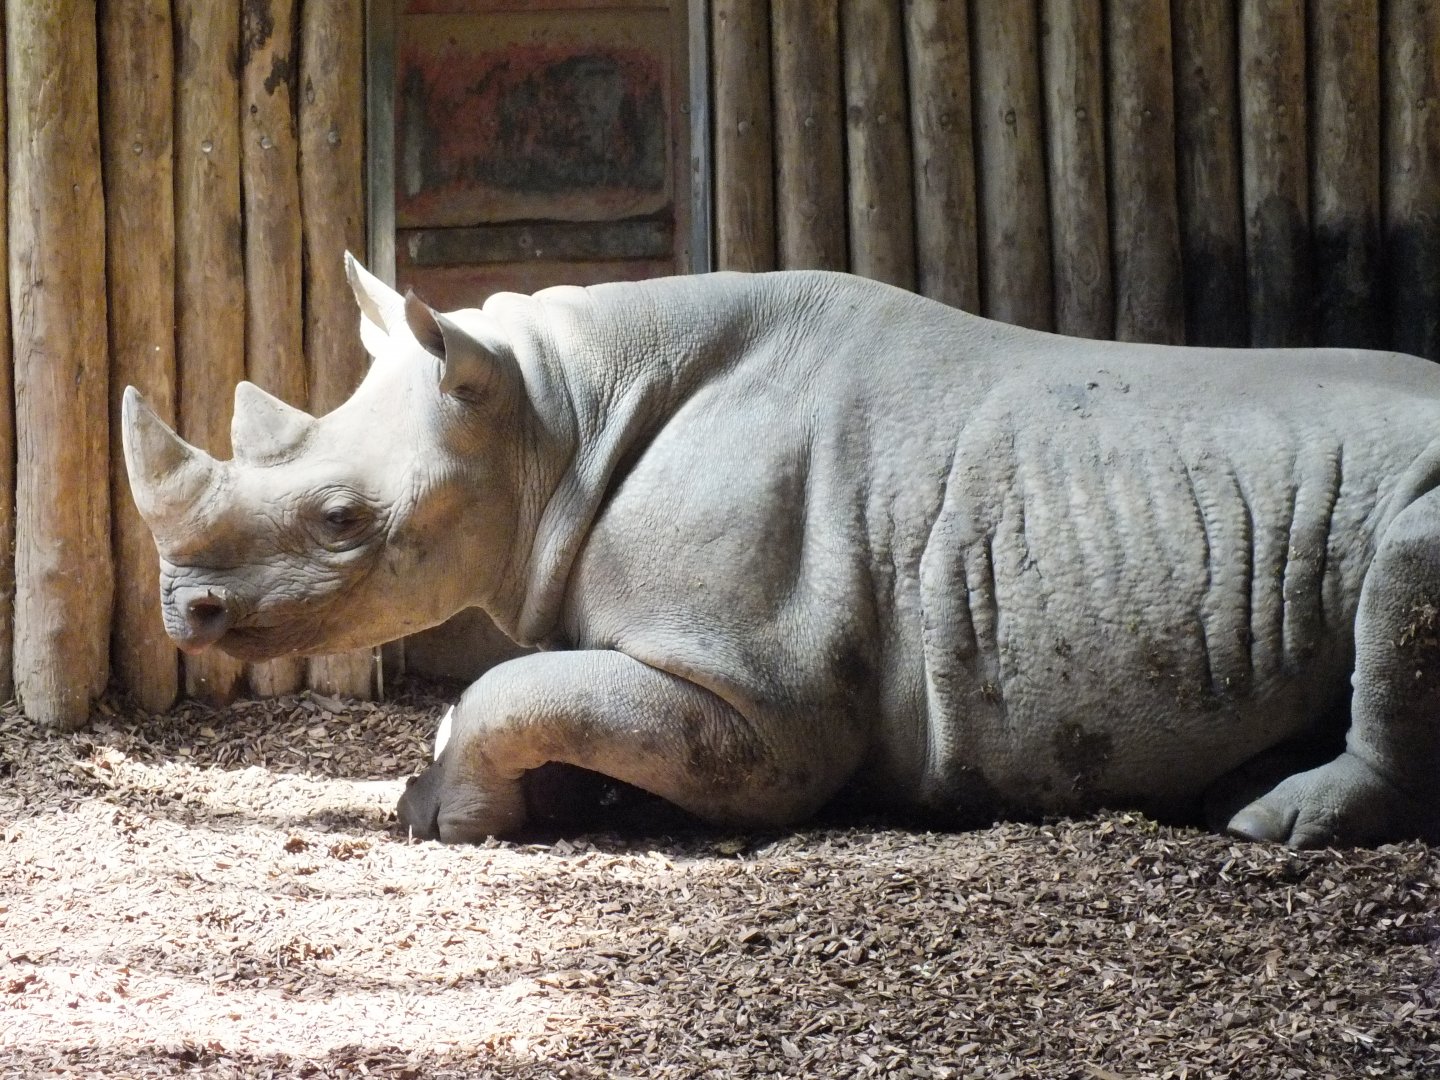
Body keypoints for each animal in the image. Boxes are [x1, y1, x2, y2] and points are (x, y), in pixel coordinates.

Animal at [122, 256, 1440, 847]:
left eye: (342, 521)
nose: (184, 611)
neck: (557, 418)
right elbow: (536, 691)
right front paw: (499, 799)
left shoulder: (760, 702)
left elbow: (516, 689)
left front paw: (448, 821)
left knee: (1405, 581)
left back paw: (1276, 824)